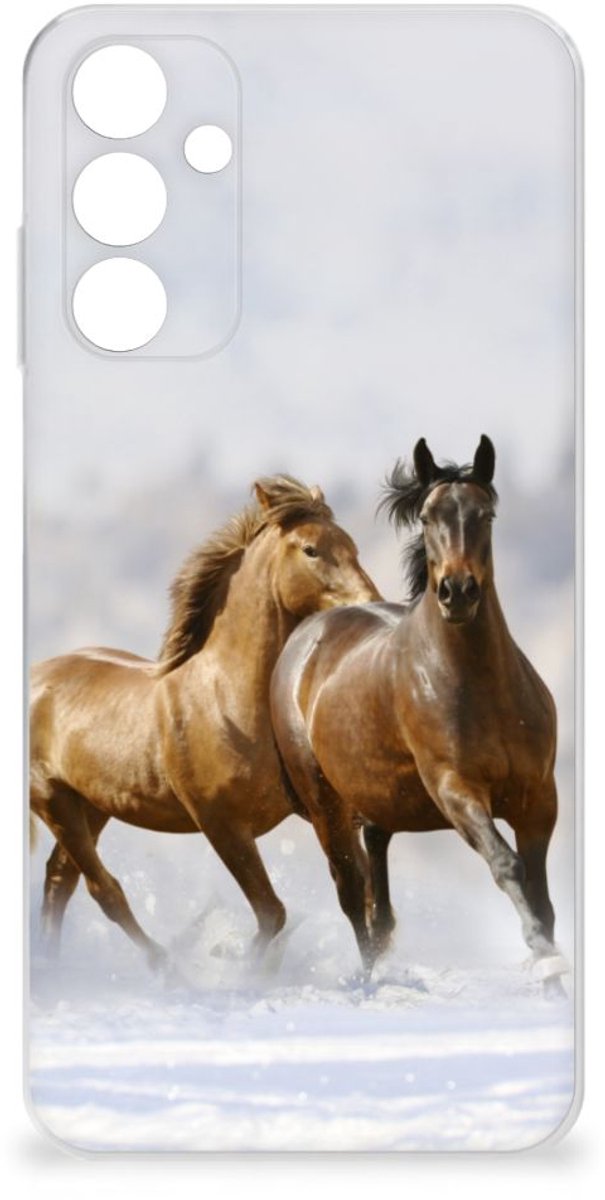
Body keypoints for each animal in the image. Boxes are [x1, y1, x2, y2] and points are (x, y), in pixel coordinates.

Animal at [30, 475, 380, 967]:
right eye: (311, 549)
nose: (372, 604)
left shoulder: (322, 810)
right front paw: (236, 964)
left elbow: (356, 892)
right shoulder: (221, 824)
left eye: (352, 546)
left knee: (60, 880)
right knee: (104, 890)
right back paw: (164, 966)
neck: (227, 701)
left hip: (92, 806)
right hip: (53, 800)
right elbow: (272, 912)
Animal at [271, 438, 563, 982]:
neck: (482, 689)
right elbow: (507, 864)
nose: (457, 592)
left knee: (377, 890)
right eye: (427, 517)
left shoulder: (539, 799)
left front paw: (551, 968)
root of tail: (306, 635)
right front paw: (542, 953)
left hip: (378, 800)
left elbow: (540, 893)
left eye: (486, 514)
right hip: (326, 806)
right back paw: (369, 980)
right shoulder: (456, 790)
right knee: (352, 894)